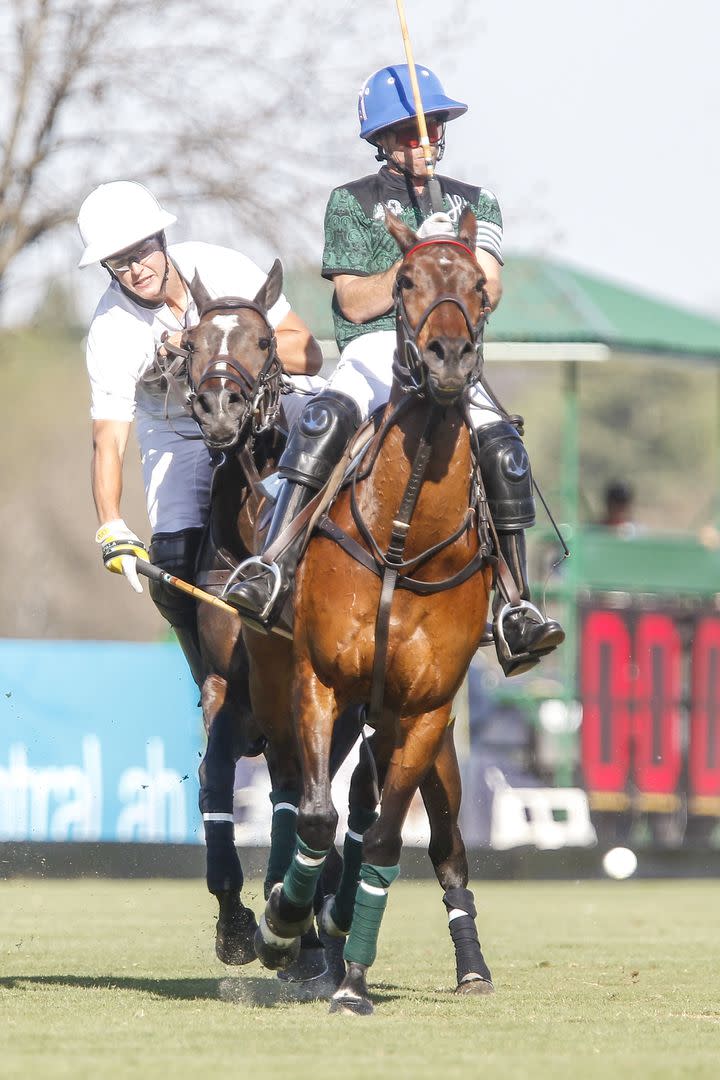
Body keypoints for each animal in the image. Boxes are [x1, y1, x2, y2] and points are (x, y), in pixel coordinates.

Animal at [255, 208, 498, 1010]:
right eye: (407, 280)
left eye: (480, 285)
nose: (449, 358)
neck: (401, 537)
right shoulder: (320, 677)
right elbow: (318, 817)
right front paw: (285, 920)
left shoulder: (425, 708)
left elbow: (389, 841)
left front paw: (354, 978)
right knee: (317, 803)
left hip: (423, 736)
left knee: (442, 843)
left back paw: (470, 966)